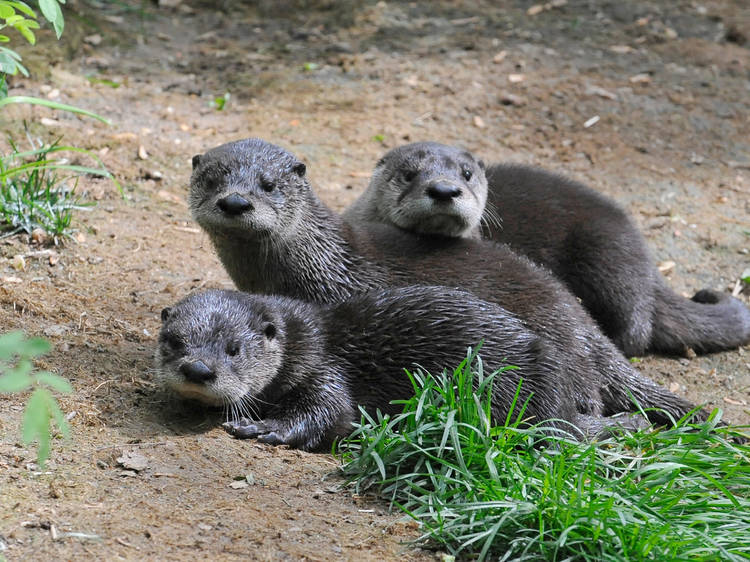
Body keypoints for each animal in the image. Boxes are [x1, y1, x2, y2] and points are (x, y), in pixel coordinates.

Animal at [156, 286, 704, 448]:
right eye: (174, 342)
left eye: (233, 349)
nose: (198, 371)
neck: (302, 341)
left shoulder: (324, 367)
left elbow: (331, 414)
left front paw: (265, 426)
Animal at [346, 142, 750, 356]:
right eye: (409, 175)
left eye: (466, 174)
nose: (444, 189)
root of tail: (648, 264)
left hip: (607, 253)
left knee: (636, 329)